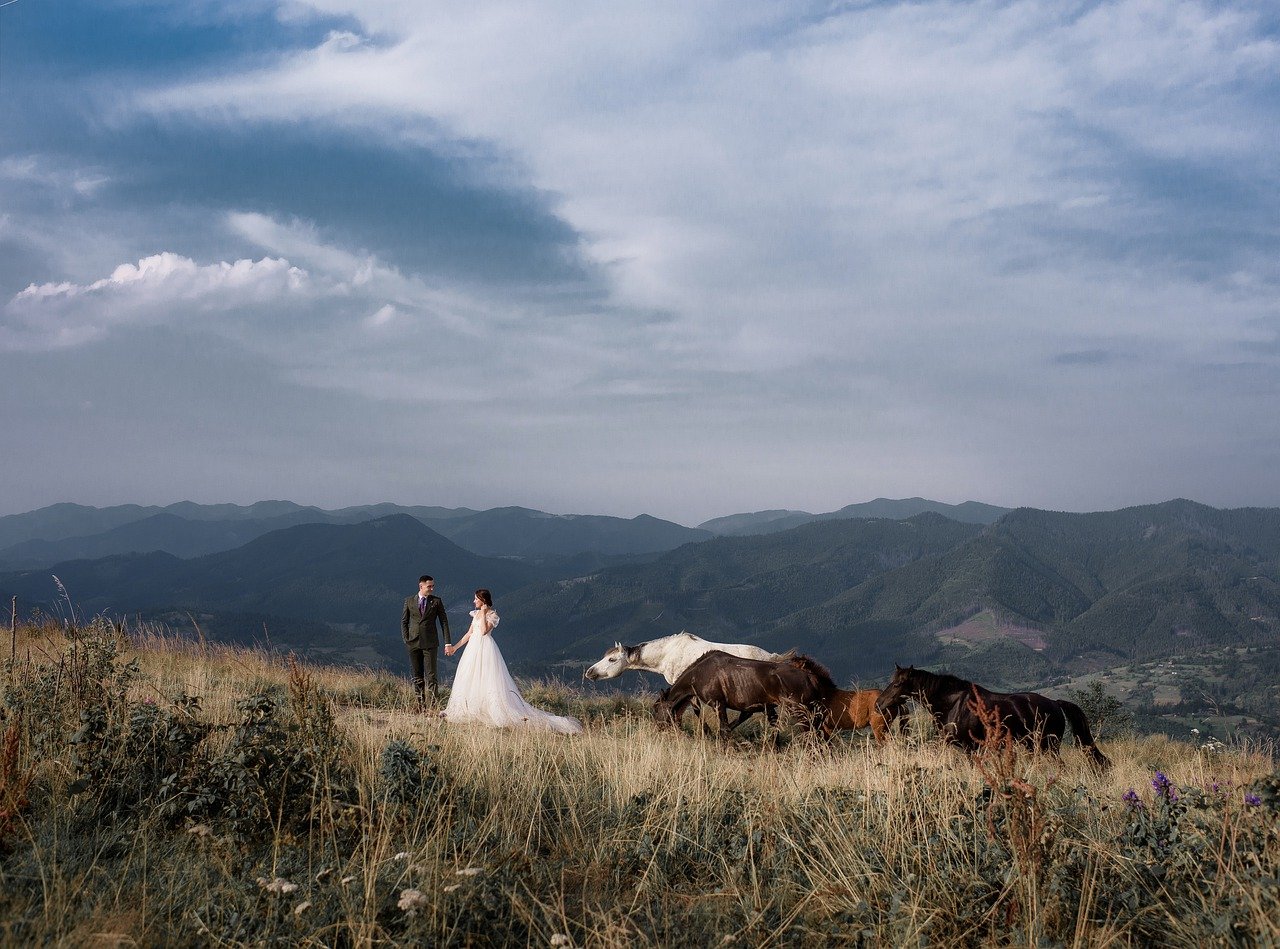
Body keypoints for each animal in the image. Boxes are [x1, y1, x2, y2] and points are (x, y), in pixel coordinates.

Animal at [655, 648, 834, 737]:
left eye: (656, 709)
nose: (658, 728)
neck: (699, 673)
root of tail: (811, 677)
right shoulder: (754, 709)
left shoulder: (718, 704)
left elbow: (725, 729)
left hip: (800, 712)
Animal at [880, 660, 1111, 768]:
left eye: (898, 683)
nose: (879, 703)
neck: (952, 704)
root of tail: (1055, 704)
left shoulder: (967, 746)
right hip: (1033, 746)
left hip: (1048, 746)